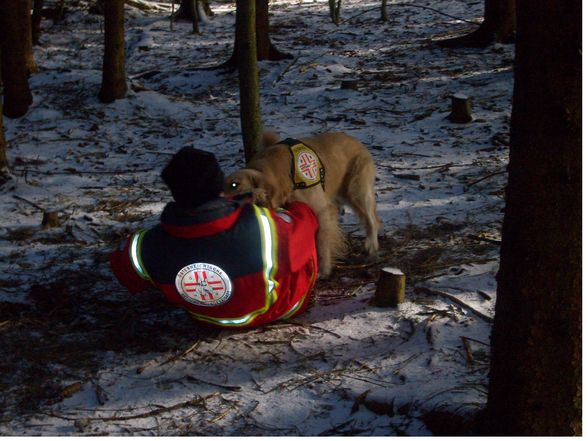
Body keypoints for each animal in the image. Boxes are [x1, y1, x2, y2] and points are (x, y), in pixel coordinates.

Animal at [225, 131, 382, 276]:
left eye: (235, 185)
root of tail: (356, 140)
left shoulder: (321, 210)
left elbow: (322, 242)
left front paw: (323, 270)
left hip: (357, 191)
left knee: (373, 219)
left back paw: (371, 246)